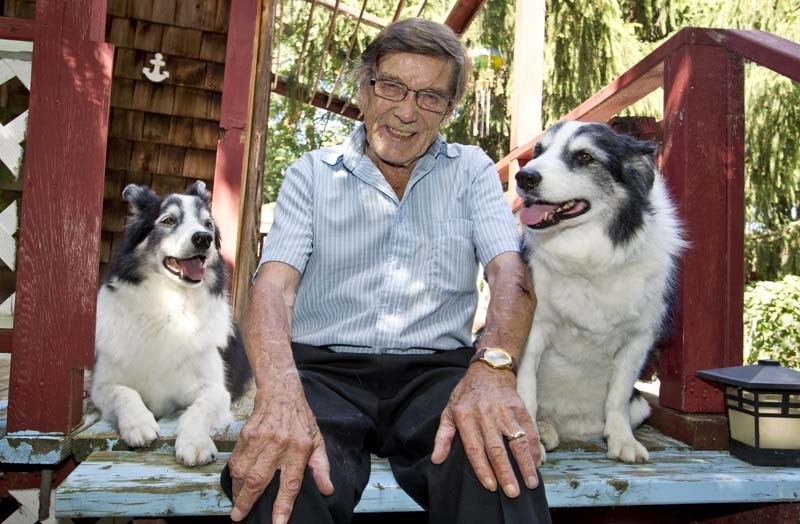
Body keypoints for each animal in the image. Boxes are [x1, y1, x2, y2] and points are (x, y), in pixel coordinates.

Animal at [90, 182, 250, 464]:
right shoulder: (101, 387)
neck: (170, 304)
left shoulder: (216, 391)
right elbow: (124, 392)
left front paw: (195, 443)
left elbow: (198, 410)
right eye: (168, 220)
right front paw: (138, 424)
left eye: (208, 224)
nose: (203, 239)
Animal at [516, 122, 684, 462]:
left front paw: (622, 441)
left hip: (641, 405)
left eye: (585, 156)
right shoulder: (534, 325)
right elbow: (526, 389)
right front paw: (529, 442)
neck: (589, 256)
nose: (524, 177)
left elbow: (617, 396)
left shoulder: (640, 336)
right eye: (539, 151)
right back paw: (543, 430)